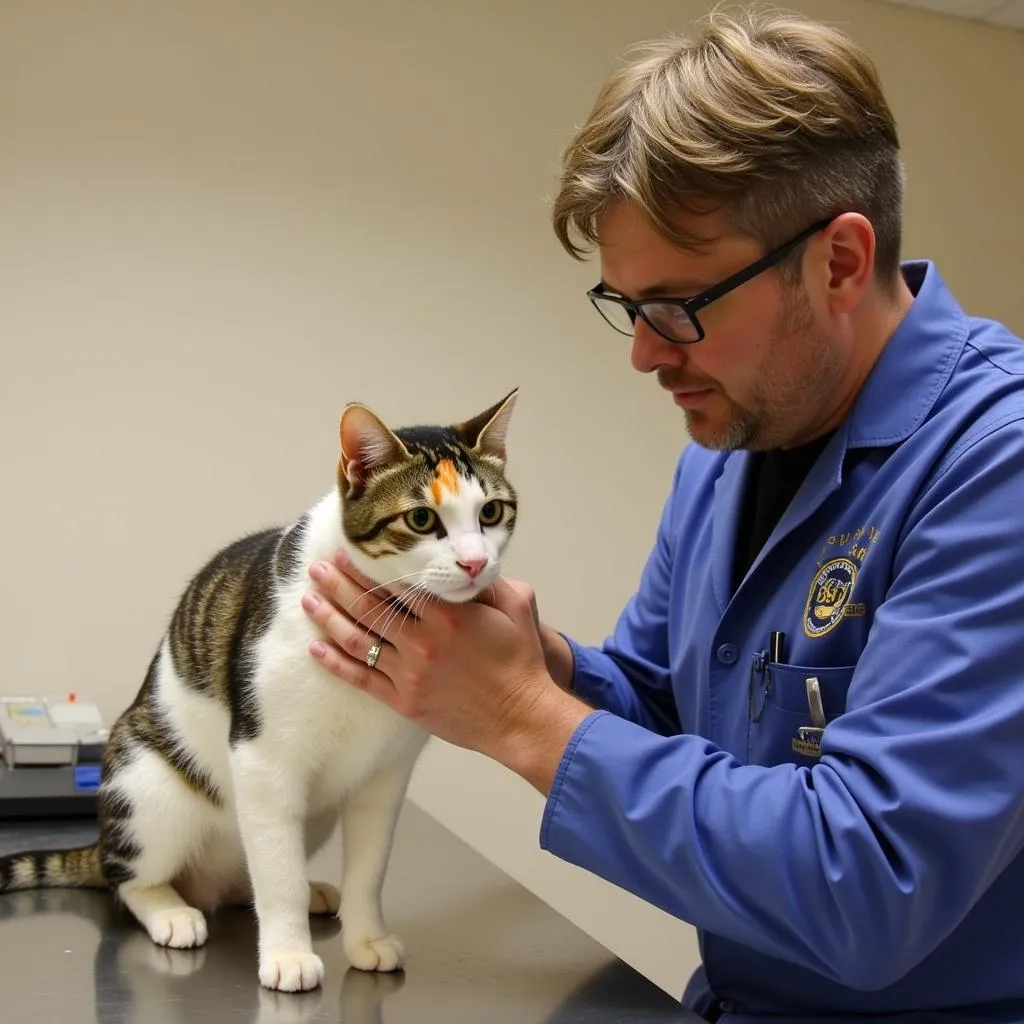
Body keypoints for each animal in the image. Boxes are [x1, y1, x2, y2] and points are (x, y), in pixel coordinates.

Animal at [0, 389, 520, 991]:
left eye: (490, 513)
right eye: (421, 518)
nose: (475, 562)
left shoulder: (385, 777)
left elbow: (369, 869)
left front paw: (365, 936)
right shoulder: (264, 760)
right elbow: (279, 877)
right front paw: (289, 954)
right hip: (147, 791)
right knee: (129, 876)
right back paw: (170, 910)